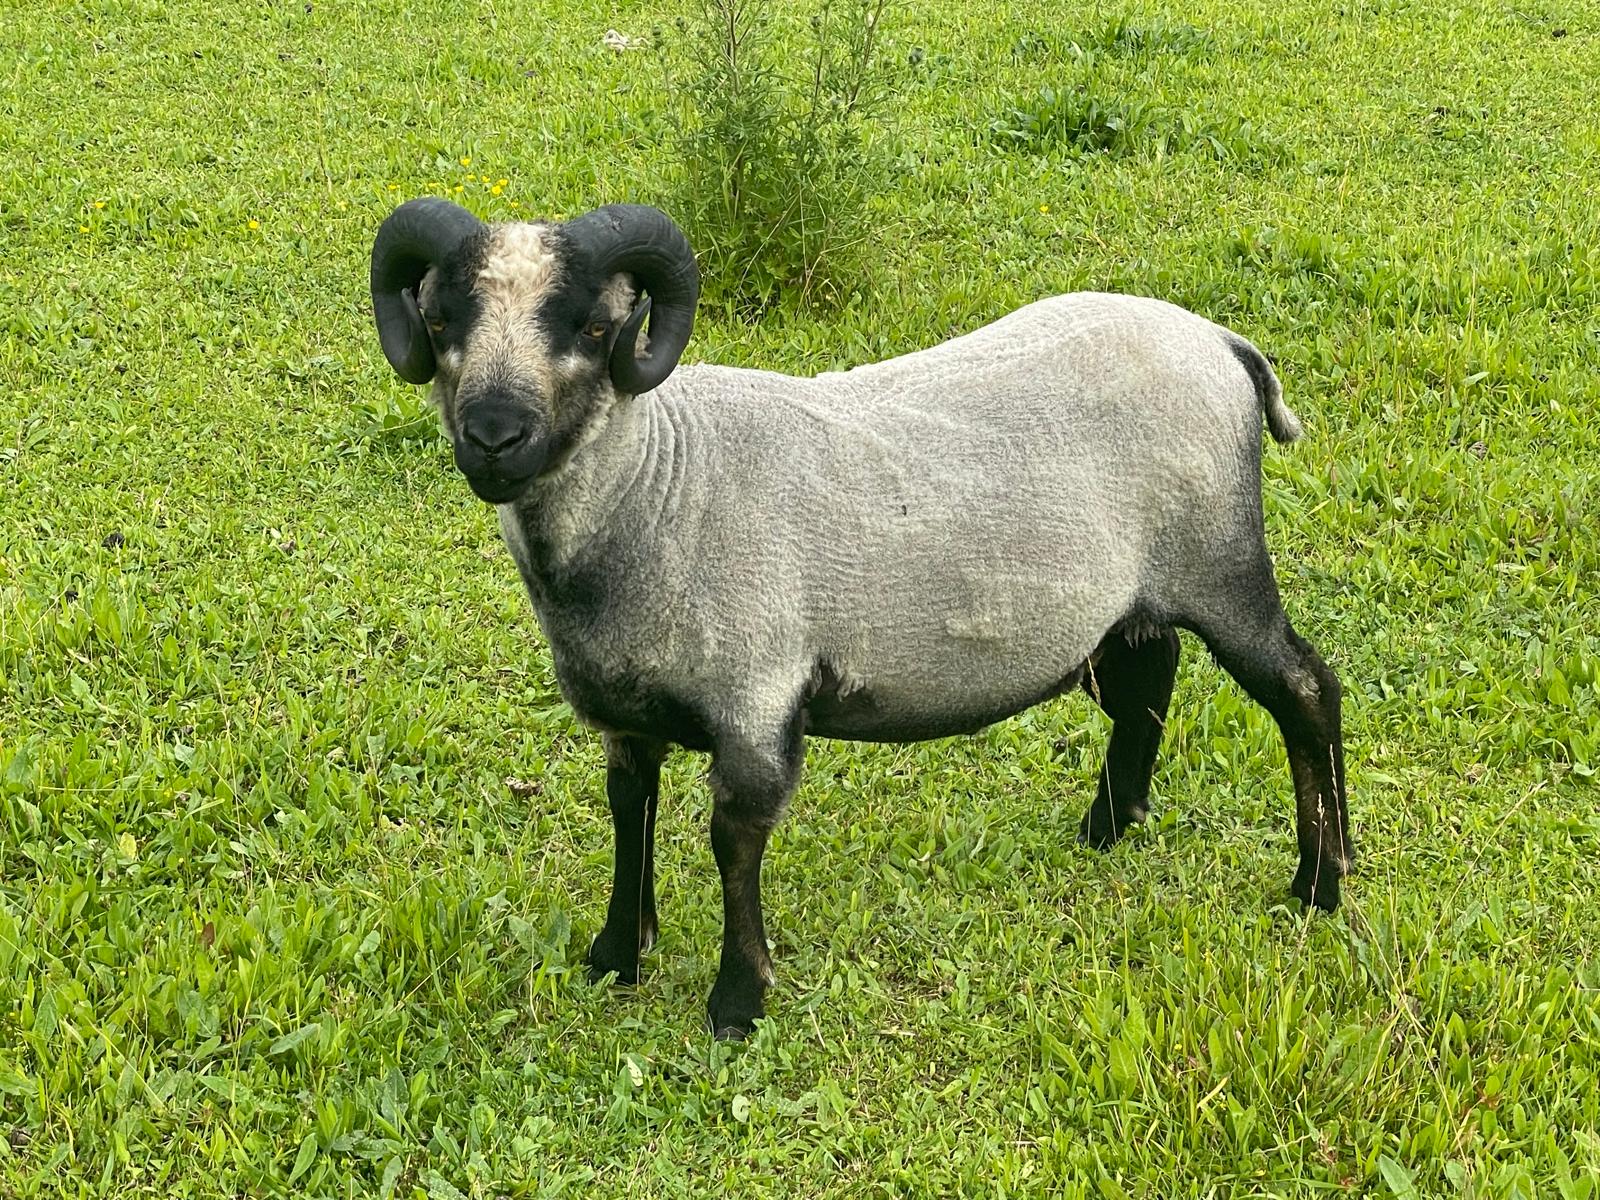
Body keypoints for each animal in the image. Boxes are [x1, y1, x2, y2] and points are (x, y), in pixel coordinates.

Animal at [370, 198, 1354, 1039]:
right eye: (443, 319)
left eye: (593, 327)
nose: (493, 436)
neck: (657, 484)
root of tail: (1222, 341)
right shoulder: (624, 715)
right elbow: (628, 810)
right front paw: (616, 954)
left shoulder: (757, 699)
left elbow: (733, 842)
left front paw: (738, 1002)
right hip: (1129, 600)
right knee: (1150, 681)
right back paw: (1108, 830)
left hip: (1221, 565)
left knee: (1306, 688)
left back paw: (1320, 882)